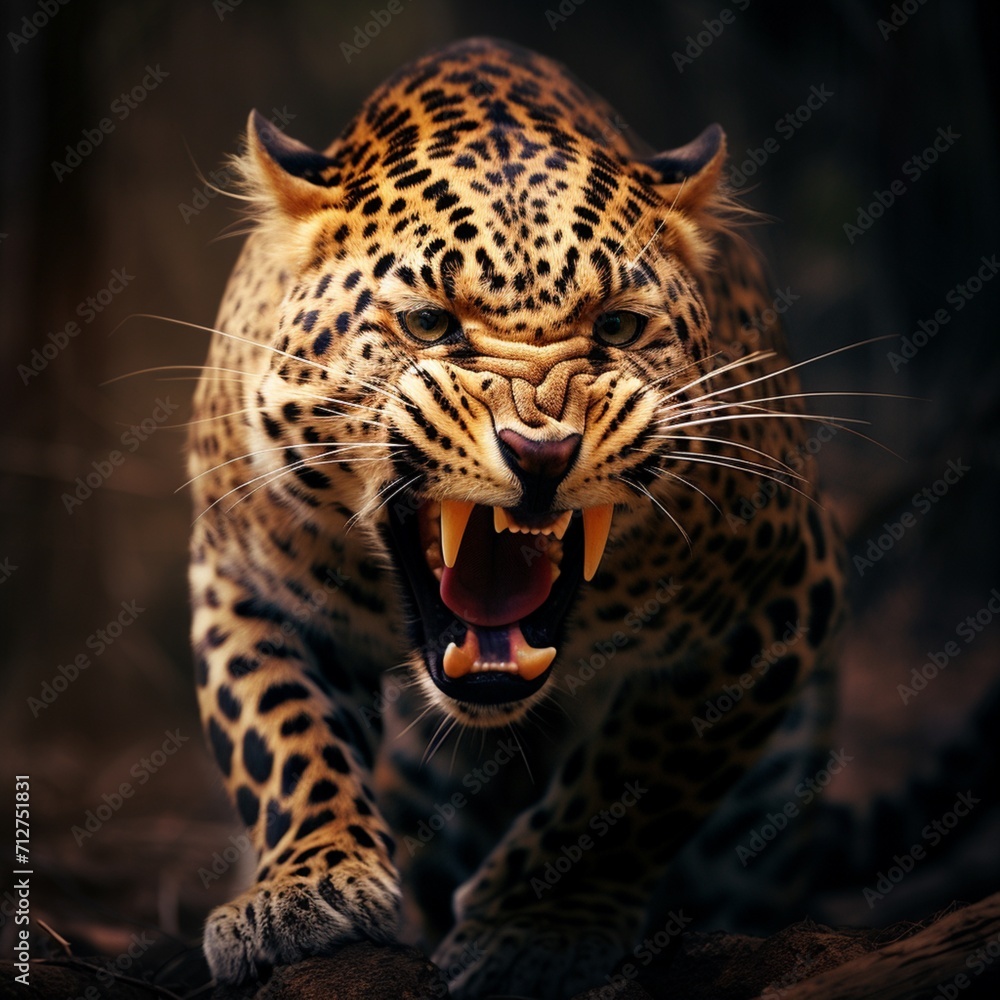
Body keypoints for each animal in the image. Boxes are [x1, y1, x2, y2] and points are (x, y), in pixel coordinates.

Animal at [187, 37, 845, 999]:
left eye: (619, 327)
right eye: (428, 323)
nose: (541, 451)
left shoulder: (780, 593)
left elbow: (644, 778)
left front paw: (537, 926)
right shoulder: (244, 578)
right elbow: (281, 732)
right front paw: (307, 889)